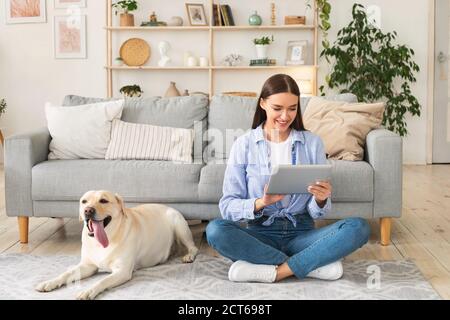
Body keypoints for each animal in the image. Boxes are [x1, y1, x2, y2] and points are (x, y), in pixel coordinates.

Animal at [35, 190, 197, 300]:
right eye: (84, 201)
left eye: (103, 200)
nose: (88, 210)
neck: (106, 239)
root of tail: (169, 207)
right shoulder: (87, 266)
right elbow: (66, 273)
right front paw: (49, 282)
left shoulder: (122, 271)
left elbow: (103, 280)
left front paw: (88, 291)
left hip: (179, 225)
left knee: (193, 247)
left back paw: (189, 256)